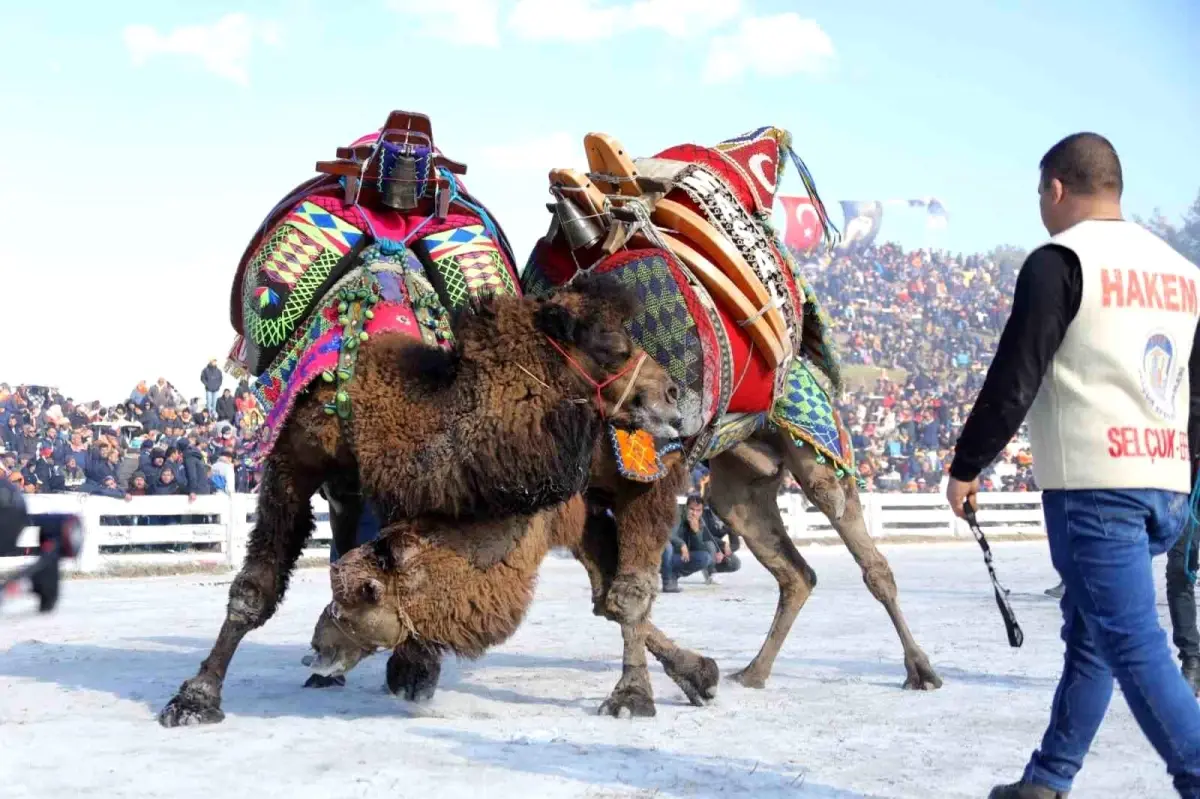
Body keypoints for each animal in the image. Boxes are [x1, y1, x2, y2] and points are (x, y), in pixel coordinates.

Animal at [156, 273, 686, 729]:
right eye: (613, 348)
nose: (672, 393)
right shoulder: (296, 462)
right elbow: (254, 589)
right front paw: (194, 698)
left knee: (610, 587)